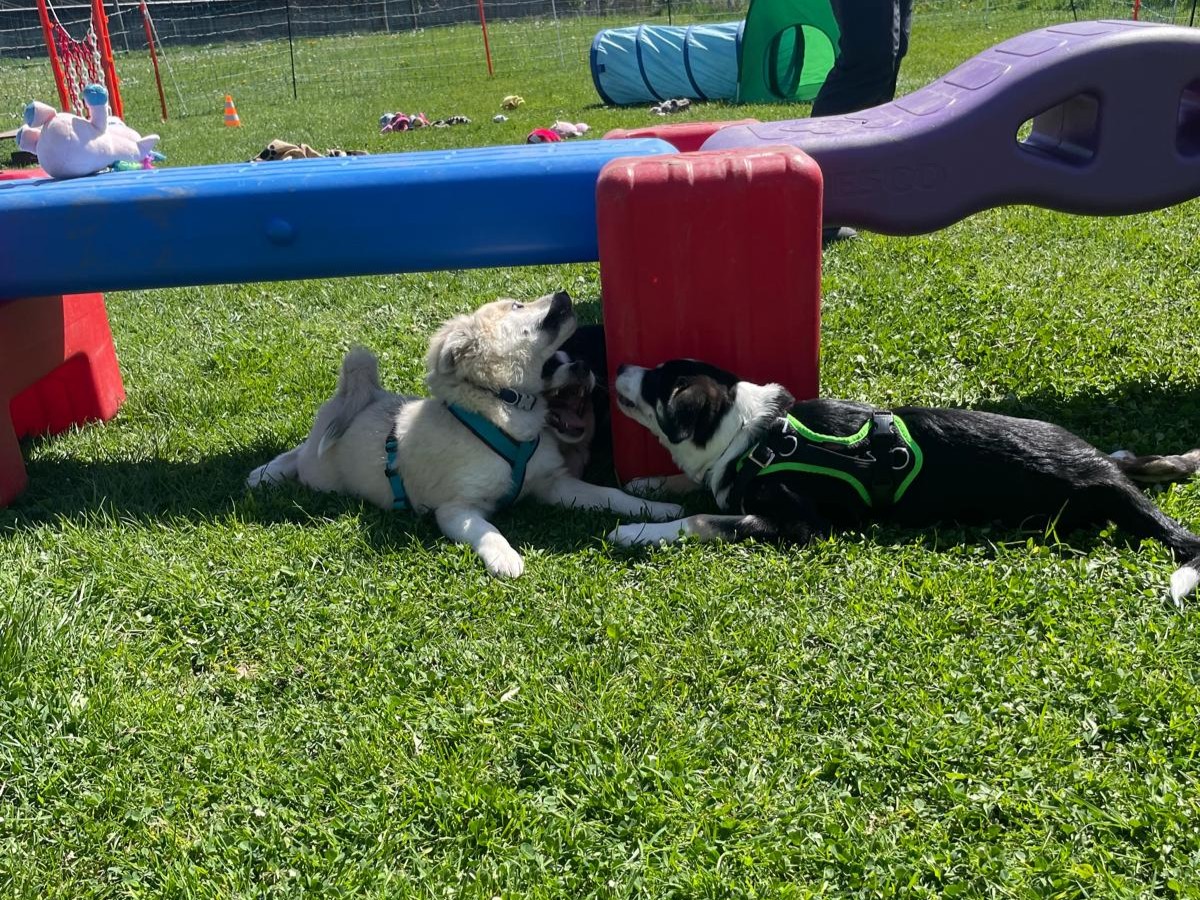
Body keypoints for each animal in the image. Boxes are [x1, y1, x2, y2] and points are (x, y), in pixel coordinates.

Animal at [246, 292, 681, 577]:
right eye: (517, 306)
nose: (562, 293)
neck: (505, 413)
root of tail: (363, 393)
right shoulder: (456, 509)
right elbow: (489, 531)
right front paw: (506, 558)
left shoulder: (554, 485)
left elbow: (611, 495)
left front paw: (656, 509)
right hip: (321, 473)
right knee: (299, 452)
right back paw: (264, 473)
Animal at [609, 358, 1200, 606]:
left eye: (657, 382)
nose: (615, 368)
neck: (750, 433)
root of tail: (1099, 473)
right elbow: (683, 487)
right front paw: (647, 488)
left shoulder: (798, 524)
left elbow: (702, 518)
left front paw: (634, 533)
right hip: (1106, 458)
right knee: (1135, 457)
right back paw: (1183, 458)